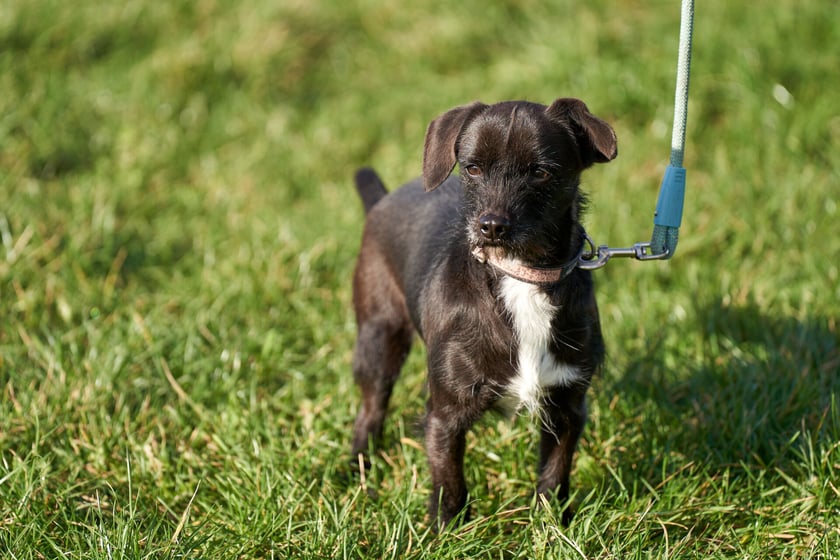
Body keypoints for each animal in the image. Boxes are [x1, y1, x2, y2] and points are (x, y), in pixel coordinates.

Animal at [348, 97, 616, 528]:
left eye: (541, 172)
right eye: (472, 168)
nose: (491, 225)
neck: (519, 274)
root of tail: (383, 200)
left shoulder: (567, 407)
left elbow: (555, 474)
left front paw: (553, 527)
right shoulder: (445, 414)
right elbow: (449, 483)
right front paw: (446, 532)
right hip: (379, 338)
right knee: (371, 410)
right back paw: (355, 470)